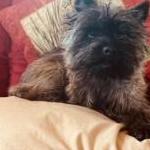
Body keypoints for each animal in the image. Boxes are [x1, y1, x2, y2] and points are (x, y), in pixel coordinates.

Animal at [9, 0, 150, 141]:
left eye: (121, 35)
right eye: (91, 33)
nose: (108, 49)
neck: (104, 77)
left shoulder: (133, 98)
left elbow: (139, 110)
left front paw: (141, 126)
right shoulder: (82, 100)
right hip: (56, 72)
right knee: (27, 91)